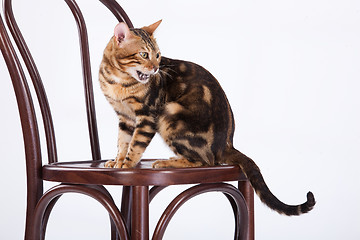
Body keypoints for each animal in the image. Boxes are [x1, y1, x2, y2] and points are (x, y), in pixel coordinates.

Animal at [98, 20, 316, 216]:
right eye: (144, 54)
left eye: (158, 56)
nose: (156, 68)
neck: (119, 82)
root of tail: (226, 145)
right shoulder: (125, 118)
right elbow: (123, 142)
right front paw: (117, 162)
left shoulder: (148, 115)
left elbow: (136, 144)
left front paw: (127, 165)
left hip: (169, 114)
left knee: (206, 161)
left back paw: (168, 162)